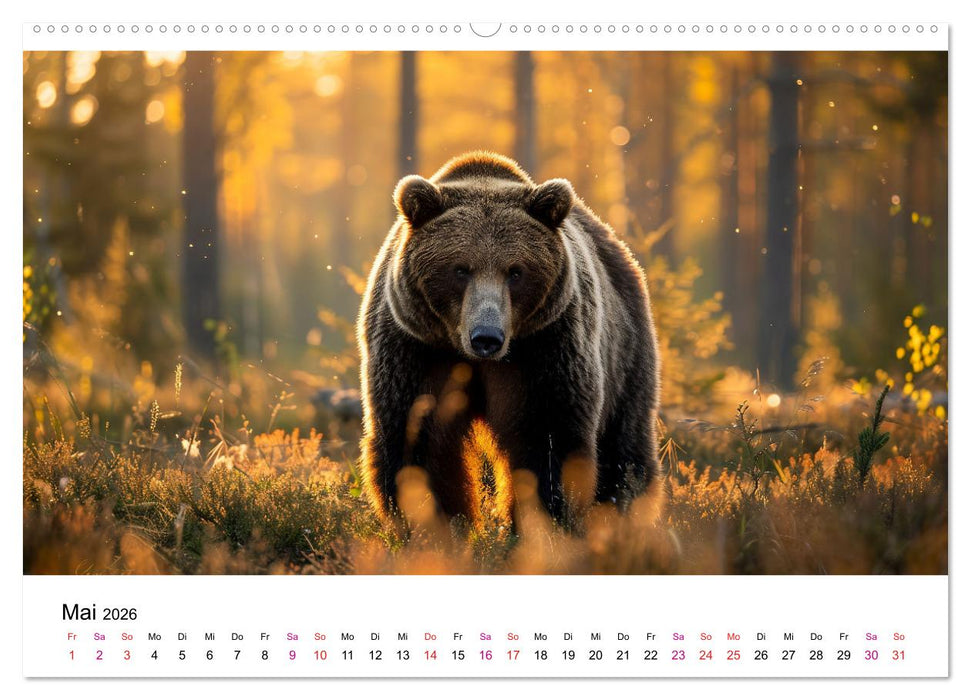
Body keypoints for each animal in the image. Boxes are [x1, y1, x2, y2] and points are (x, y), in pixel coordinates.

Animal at [357, 151, 661, 526]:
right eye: (460, 269)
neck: (471, 356)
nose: (487, 337)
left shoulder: (546, 348)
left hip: (626, 353)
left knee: (624, 445)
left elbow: (547, 439)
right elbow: (419, 439)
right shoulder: (417, 348)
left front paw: (543, 521)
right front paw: (437, 521)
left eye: (516, 272)